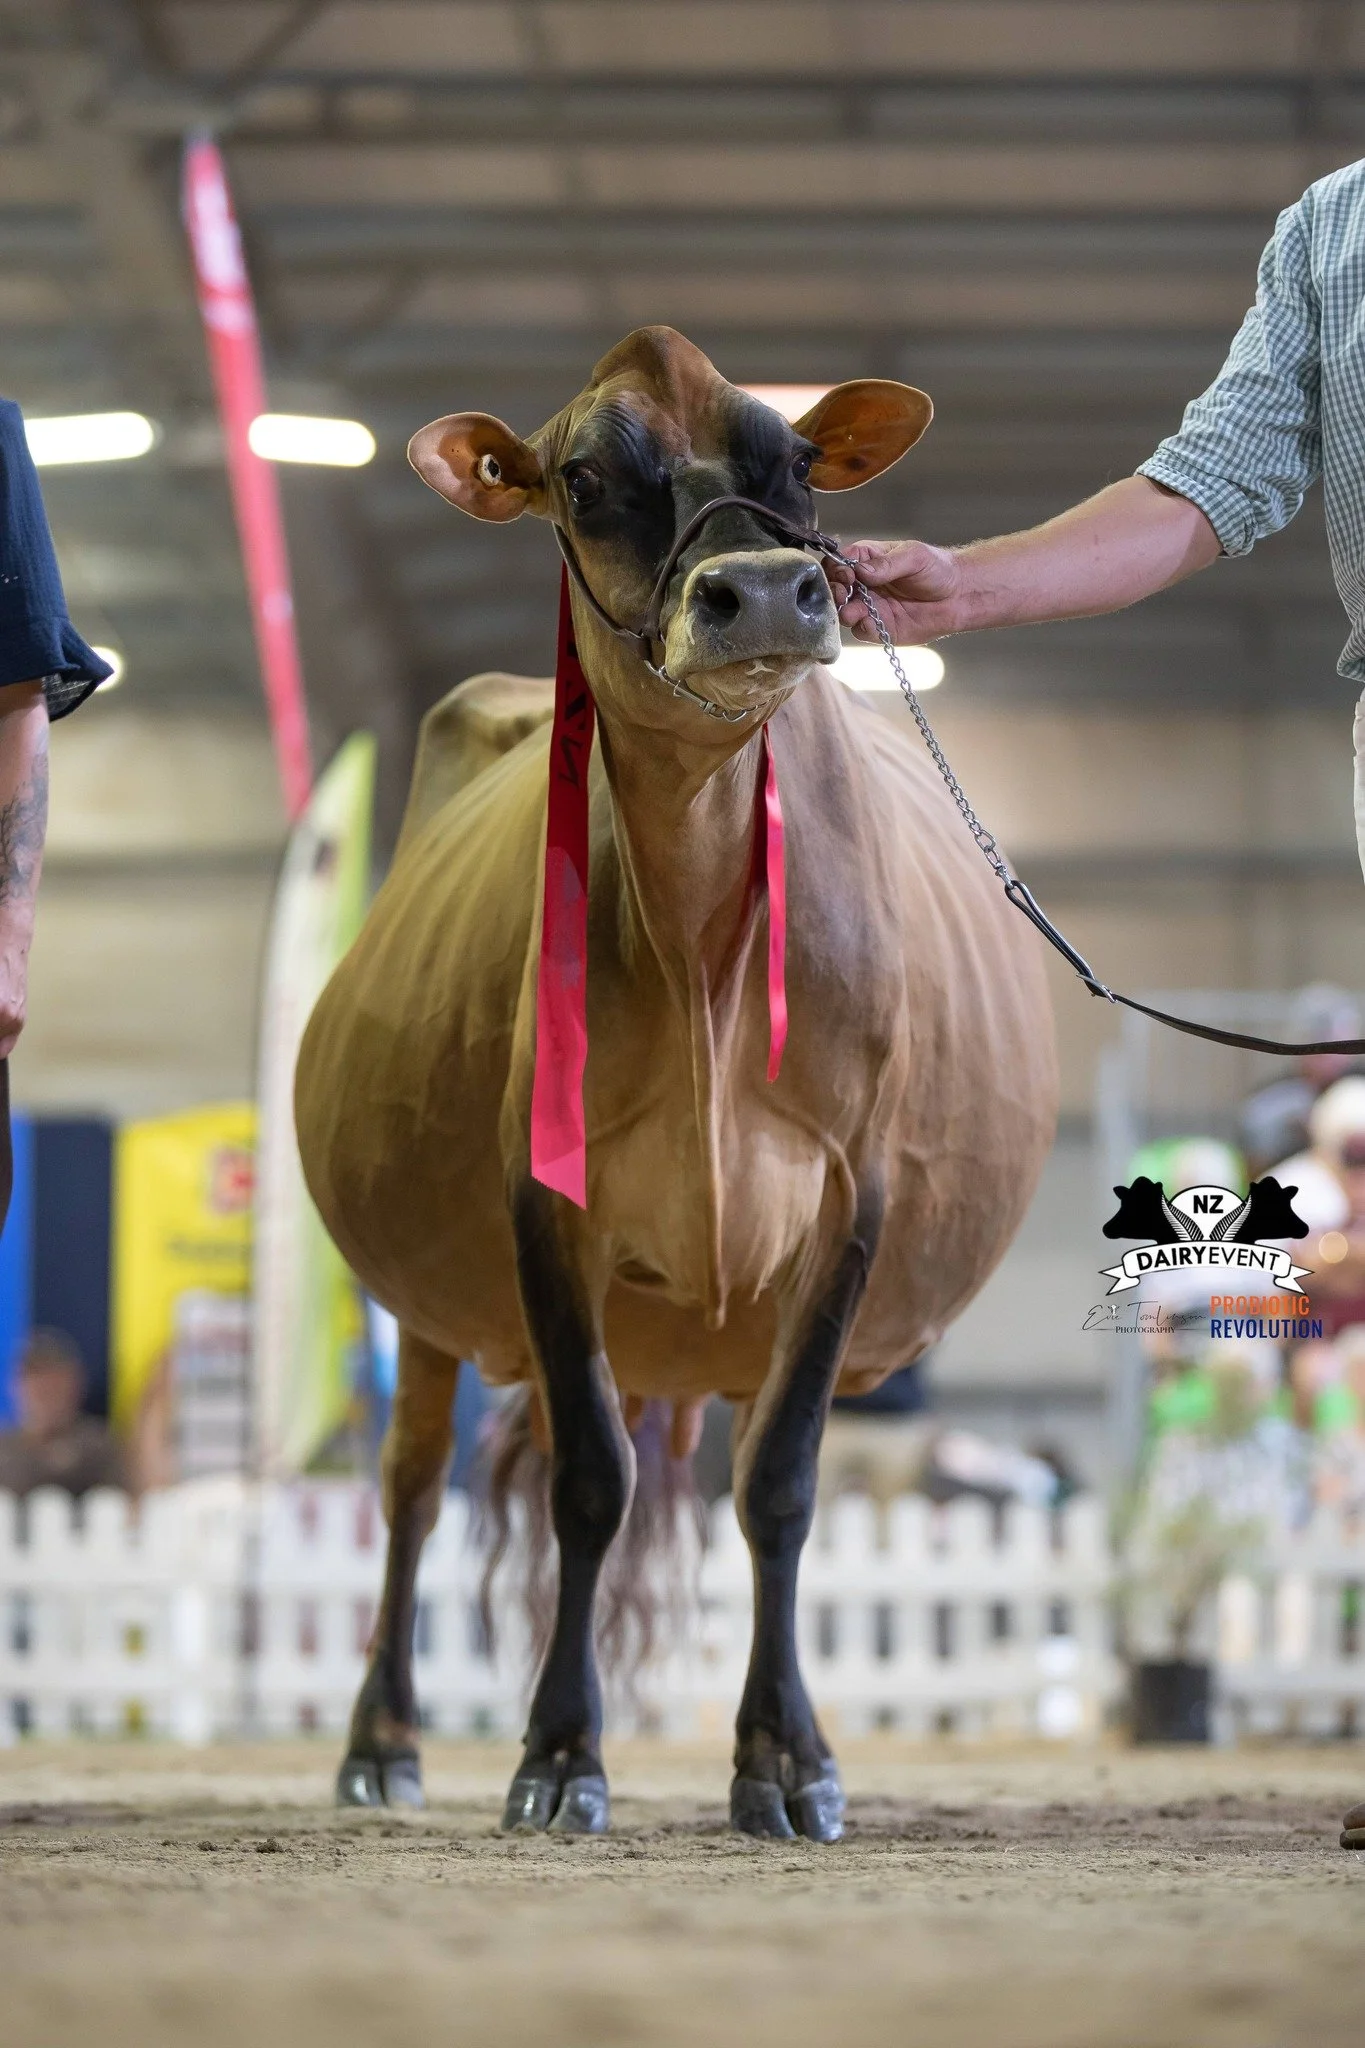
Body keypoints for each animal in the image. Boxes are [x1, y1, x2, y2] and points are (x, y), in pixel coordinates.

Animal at [295, 326, 1058, 1842]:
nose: (763, 587)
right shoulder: (542, 1196)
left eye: (800, 461)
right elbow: (591, 1481)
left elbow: (780, 1485)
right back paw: (381, 1741)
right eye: (587, 477)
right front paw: (557, 1754)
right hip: (420, 1306)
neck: (703, 938)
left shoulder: (852, 1193)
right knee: (411, 1483)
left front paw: (787, 1761)